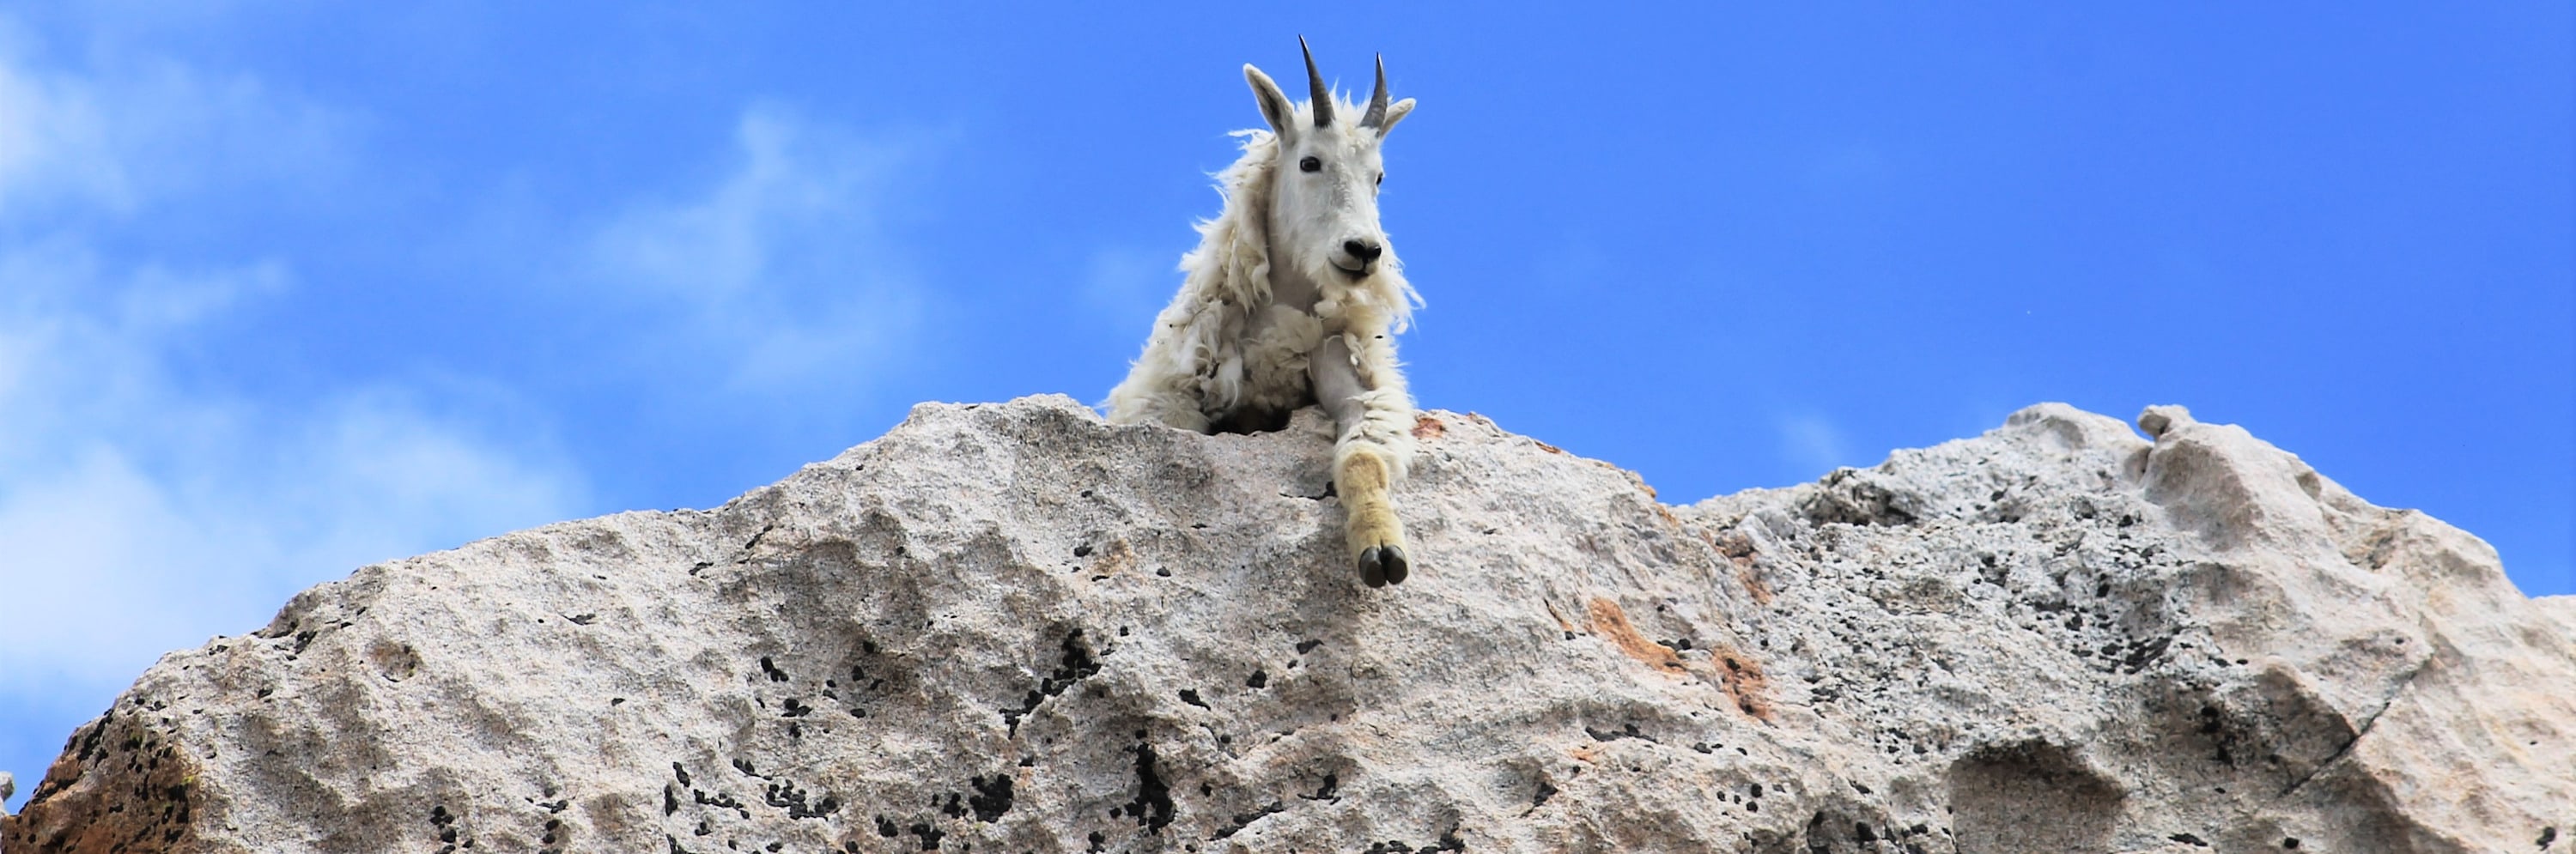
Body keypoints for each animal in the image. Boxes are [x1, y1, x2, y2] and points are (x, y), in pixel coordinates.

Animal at [1108, 39, 1432, 586]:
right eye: (1309, 162)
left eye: (1379, 176)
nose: (1364, 250)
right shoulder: (1177, 394)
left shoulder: (1346, 368)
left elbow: (1363, 455)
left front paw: (1382, 548)